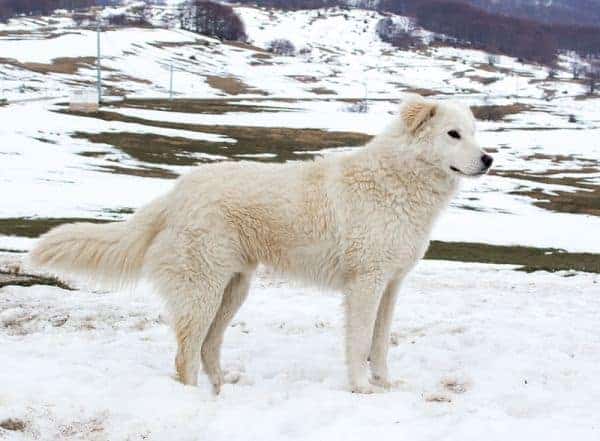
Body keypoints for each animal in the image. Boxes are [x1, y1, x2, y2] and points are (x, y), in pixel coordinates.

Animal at [28, 94, 492, 394]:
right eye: (453, 134)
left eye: (473, 133)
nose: (489, 159)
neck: (399, 180)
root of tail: (176, 193)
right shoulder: (366, 283)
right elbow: (360, 341)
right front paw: (362, 388)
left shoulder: (391, 284)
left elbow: (379, 343)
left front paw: (386, 383)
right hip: (202, 291)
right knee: (185, 355)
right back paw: (194, 400)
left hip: (233, 289)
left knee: (208, 348)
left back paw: (223, 389)